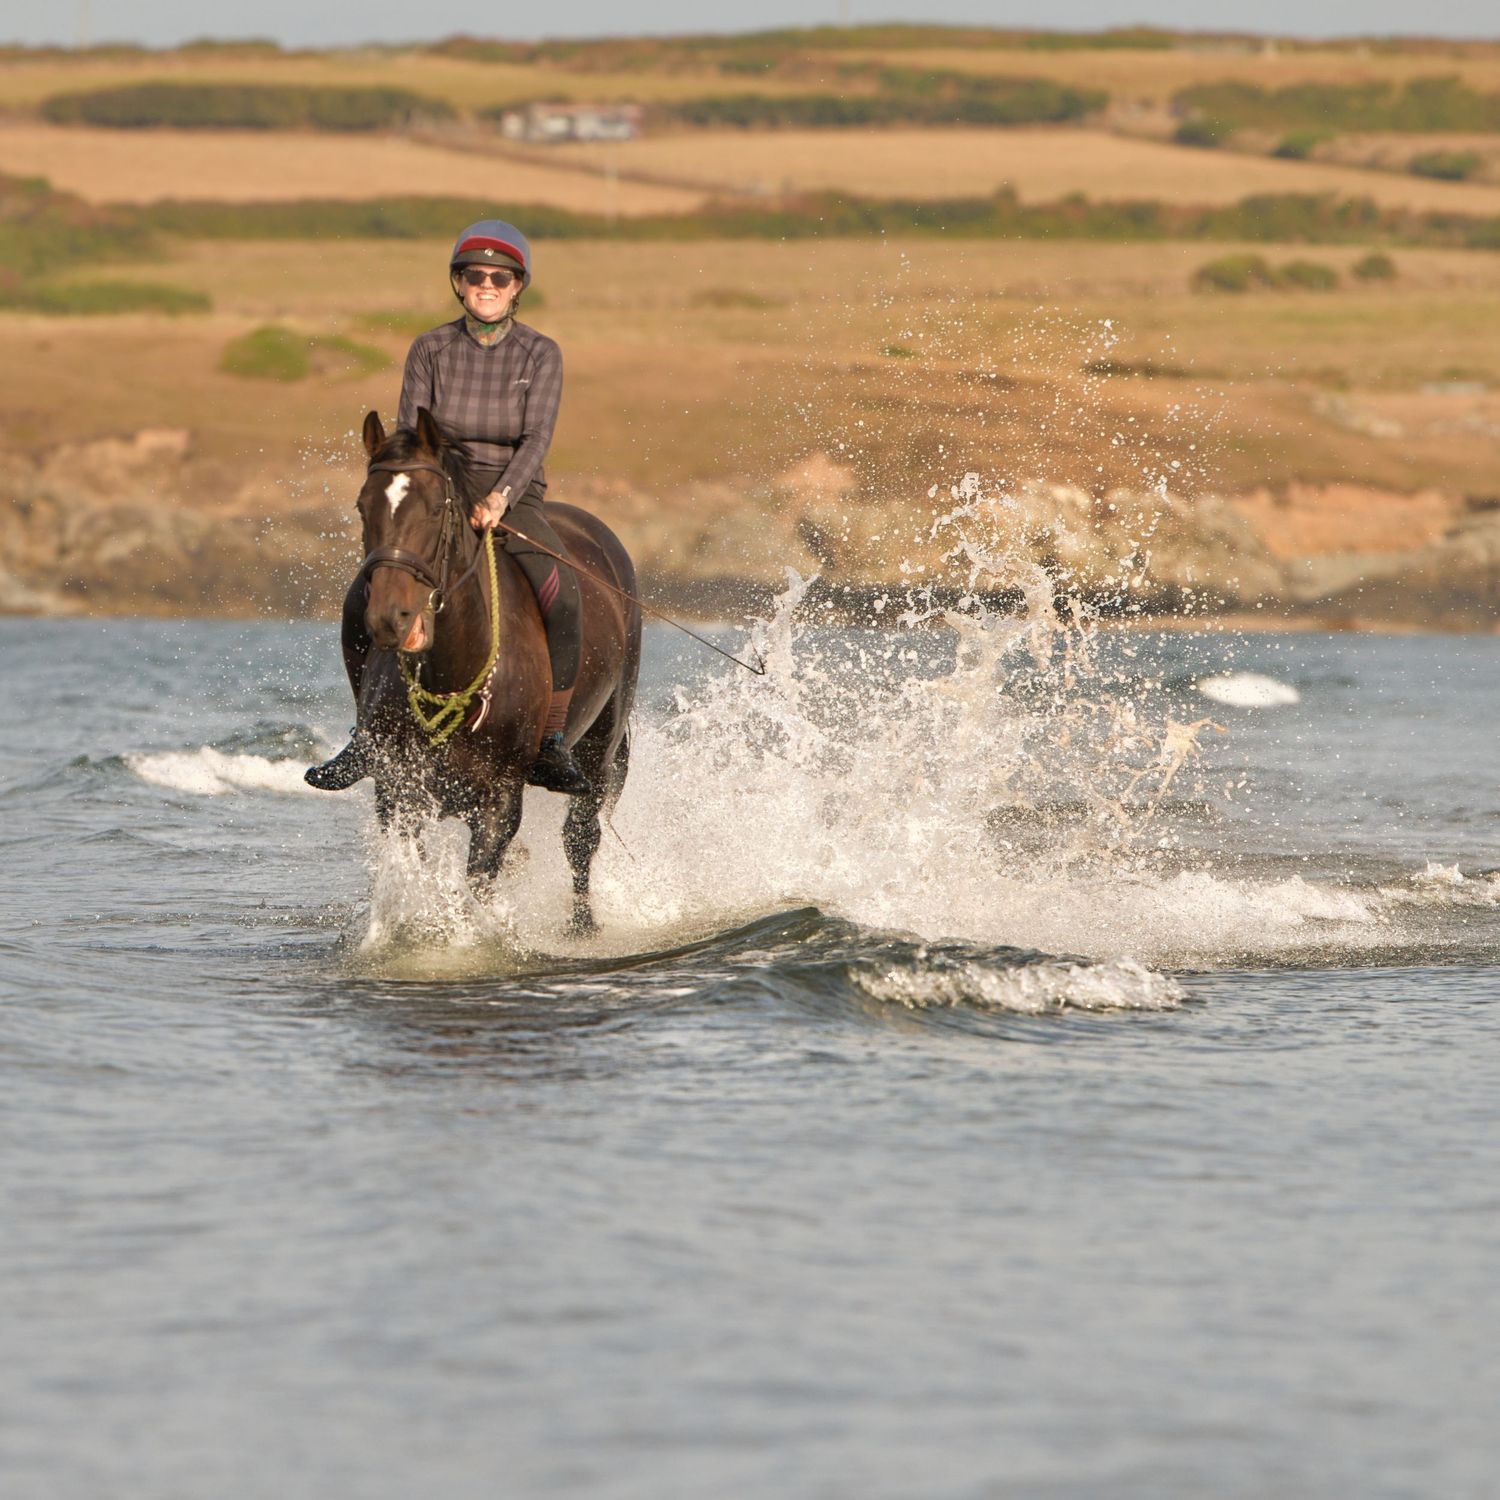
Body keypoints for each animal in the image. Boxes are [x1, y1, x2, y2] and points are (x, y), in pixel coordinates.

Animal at [349, 407, 640, 933]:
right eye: (364, 507)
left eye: (435, 509)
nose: (389, 619)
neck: (452, 670)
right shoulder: (398, 789)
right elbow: (412, 867)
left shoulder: (499, 800)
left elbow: (479, 883)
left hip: (600, 747)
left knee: (581, 838)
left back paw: (583, 927)